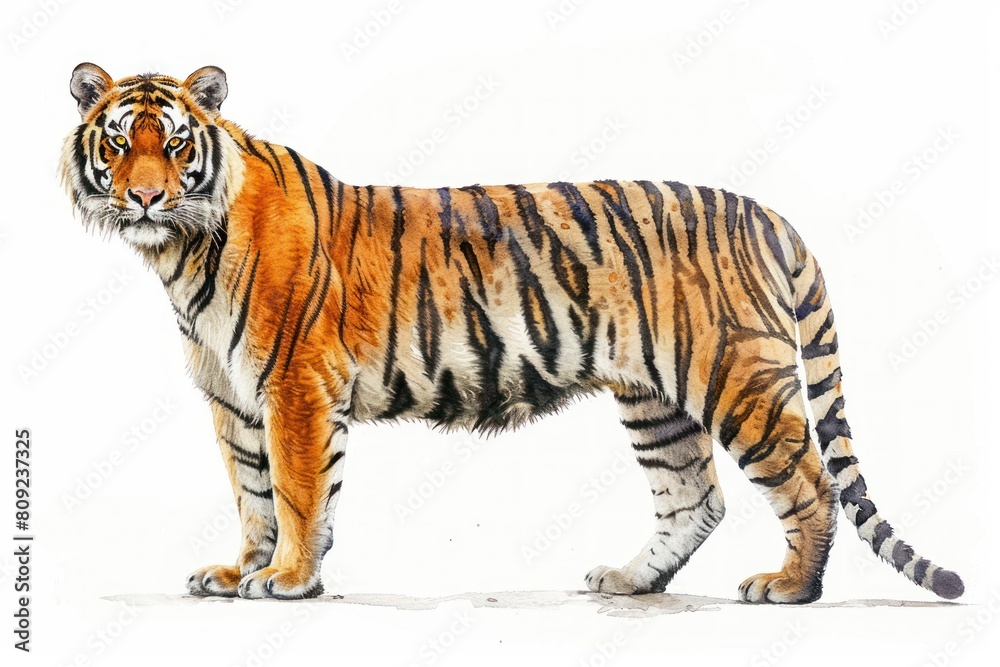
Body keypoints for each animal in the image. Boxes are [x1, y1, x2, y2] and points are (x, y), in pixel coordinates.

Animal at [60, 63, 964, 603]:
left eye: (177, 144)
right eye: (120, 141)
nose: (145, 196)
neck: (181, 251)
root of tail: (767, 213)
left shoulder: (295, 386)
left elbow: (295, 489)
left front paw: (287, 578)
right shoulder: (233, 398)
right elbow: (251, 492)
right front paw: (238, 571)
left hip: (736, 376)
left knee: (808, 482)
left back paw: (788, 586)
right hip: (655, 399)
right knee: (693, 497)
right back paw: (629, 579)